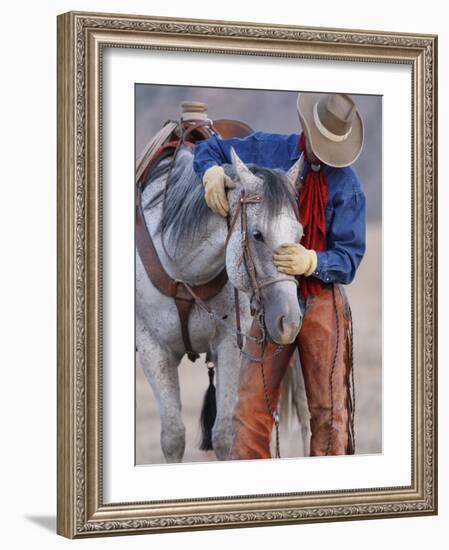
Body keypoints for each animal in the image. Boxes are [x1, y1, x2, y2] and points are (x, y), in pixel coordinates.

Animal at [136, 144, 304, 464]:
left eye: (300, 234)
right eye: (257, 234)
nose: (289, 322)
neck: (183, 270)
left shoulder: (229, 344)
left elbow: (224, 436)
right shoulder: (152, 348)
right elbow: (173, 436)